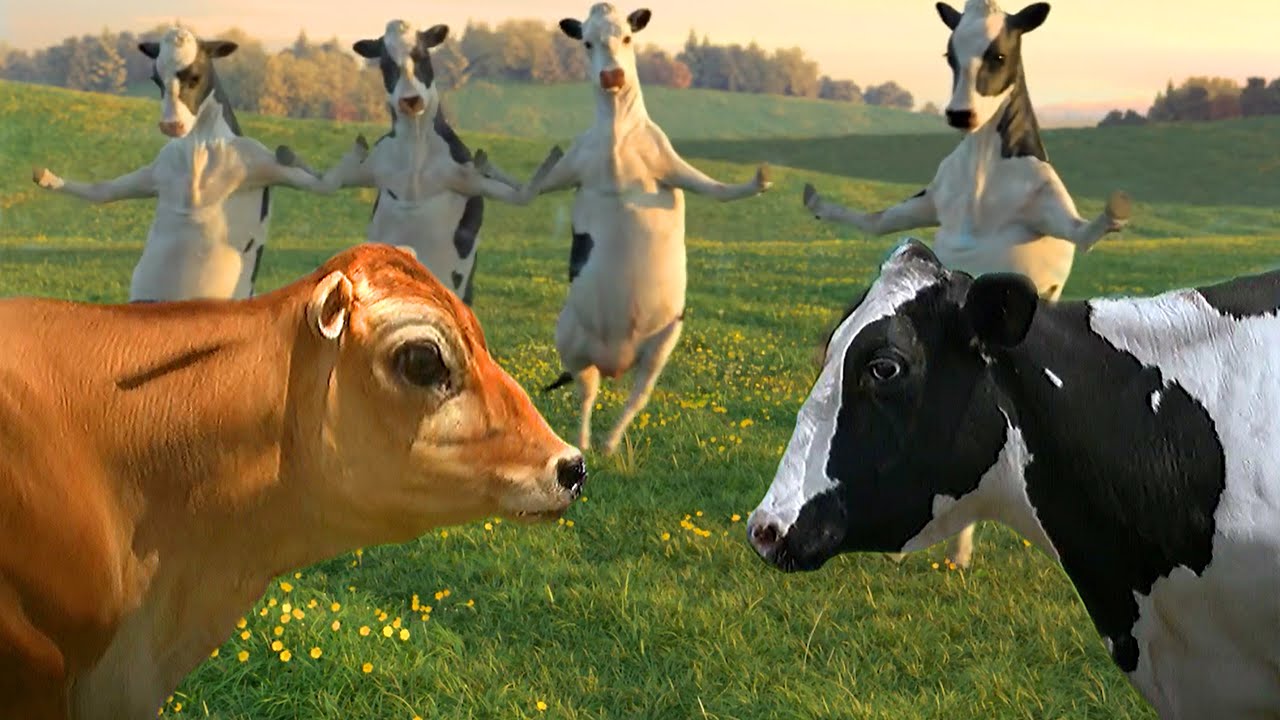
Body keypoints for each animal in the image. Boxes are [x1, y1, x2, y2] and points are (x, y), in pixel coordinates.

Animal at [30, 27, 364, 303]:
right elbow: (103, 191)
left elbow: (326, 183)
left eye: (194, 76)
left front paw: (358, 150)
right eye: (156, 79)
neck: (199, 146)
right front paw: (48, 178)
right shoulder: (155, 174)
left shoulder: (262, 165)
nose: (170, 124)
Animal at [474, 3, 772, 455]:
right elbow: (526, 190)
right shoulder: (572, 168)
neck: (616, 131)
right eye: (586, 43)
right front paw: (486, 163)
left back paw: (610, 443)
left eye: (628, 38)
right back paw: (583, 443)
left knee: (637, 396)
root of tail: (616, 358)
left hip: (663, 342)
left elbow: (722, 191)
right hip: (571, 340)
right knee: (586, 392)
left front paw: (761, 178)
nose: (612, 76)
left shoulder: (671, 167)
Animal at [799, 0, 1133, 568]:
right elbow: (877, 219)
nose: (960, 115)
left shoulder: (1050, 211)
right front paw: (820, 203)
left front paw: (1115, 211)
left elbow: (1086, 229)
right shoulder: (928, 202)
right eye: (950, 54)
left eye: (997, 54)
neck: (981, 174)